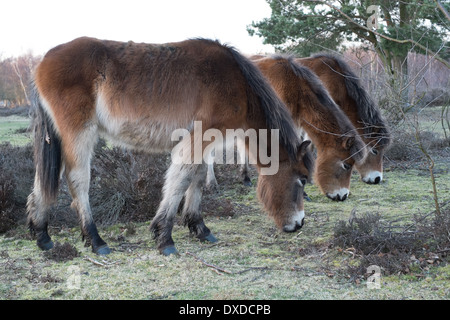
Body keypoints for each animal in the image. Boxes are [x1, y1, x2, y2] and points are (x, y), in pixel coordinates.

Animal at [25, 37, 312, 255]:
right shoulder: (199, 137)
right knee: (77, 180)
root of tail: (42, 62)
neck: (235, 82)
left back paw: (42, 235)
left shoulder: (205, 141)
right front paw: (164, 236)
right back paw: (96, 240)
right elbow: (181, 179)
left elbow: (197, 177)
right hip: (79, 133)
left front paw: (199, 227)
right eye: (302, 180)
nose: (299, 224)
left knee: (42, 178)